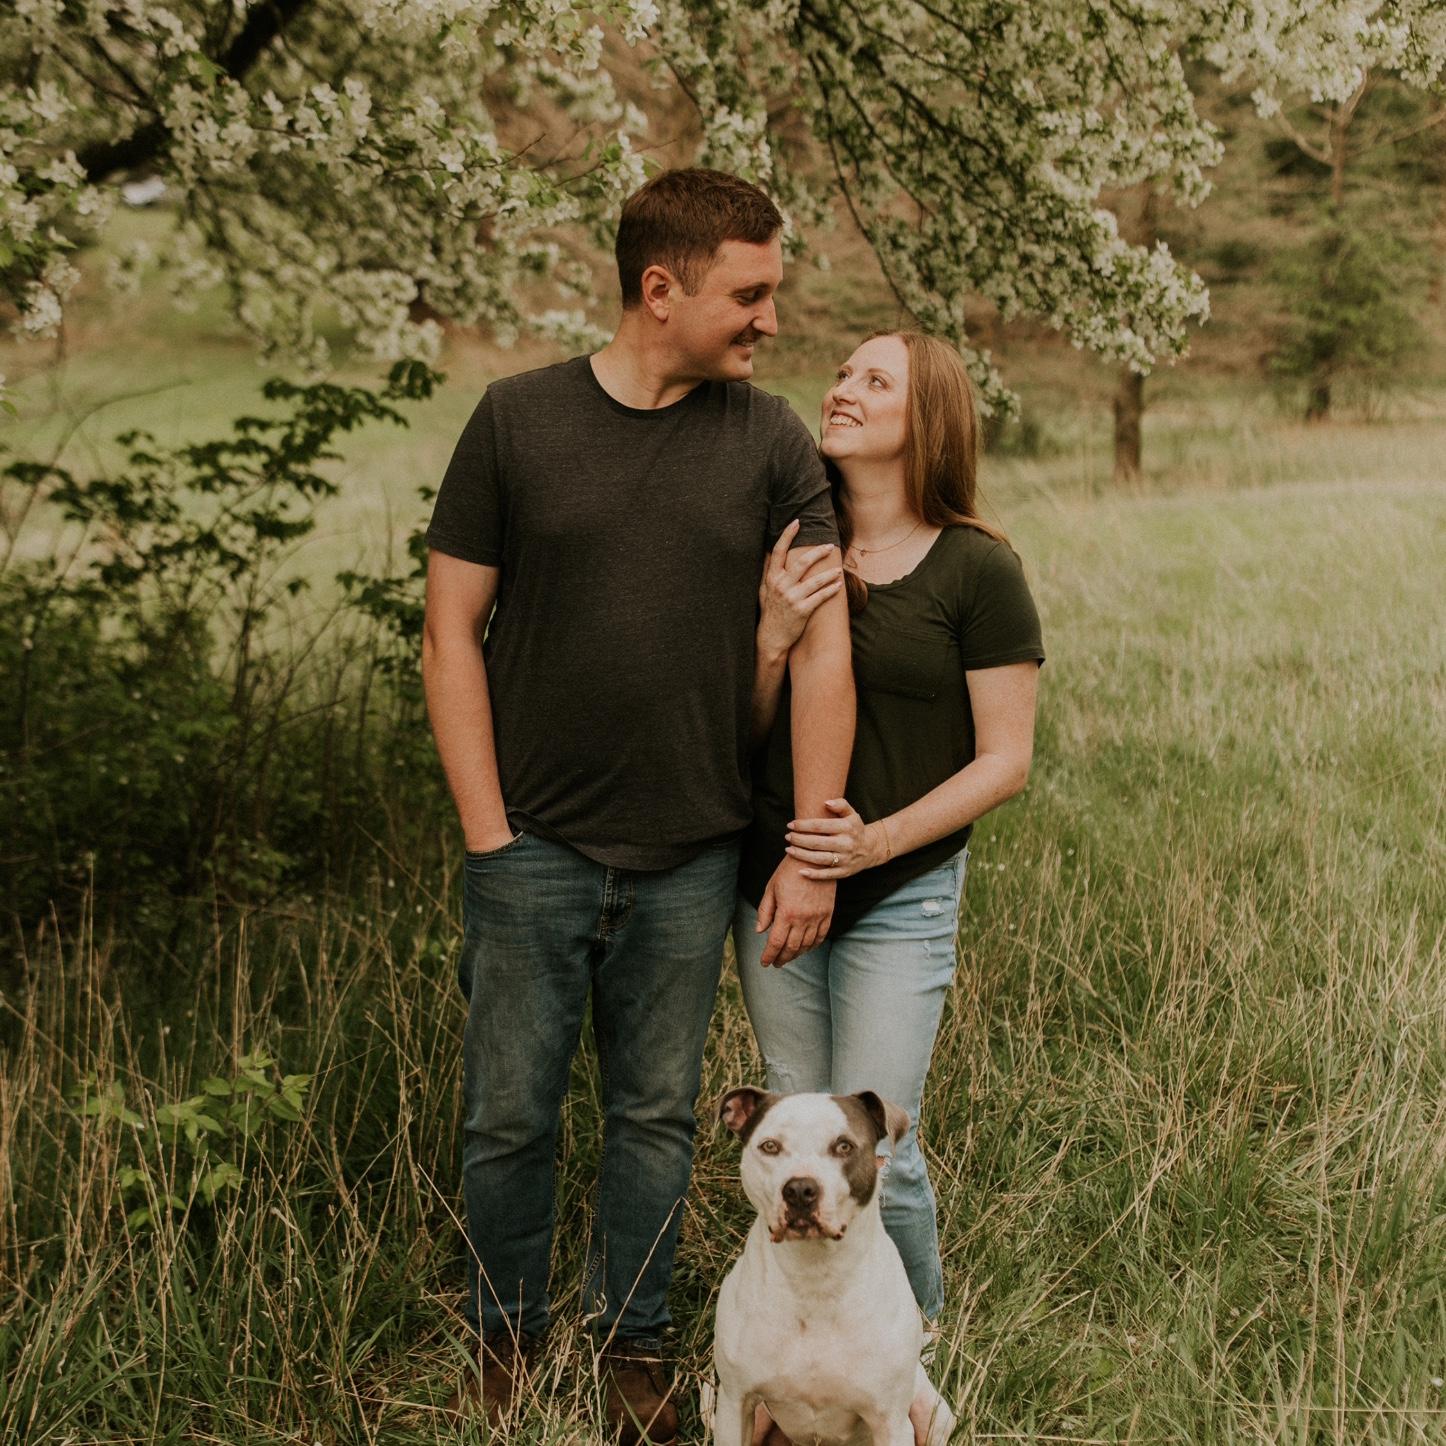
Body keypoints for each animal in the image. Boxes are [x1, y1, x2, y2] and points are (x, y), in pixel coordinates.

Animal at [711, 1087, 956, 1446]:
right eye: (770, 1146)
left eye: (844, 1146)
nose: (799, 1190)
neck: (815, 1274)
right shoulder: (734, 1405)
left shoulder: (891, 1422)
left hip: (932, 1414)